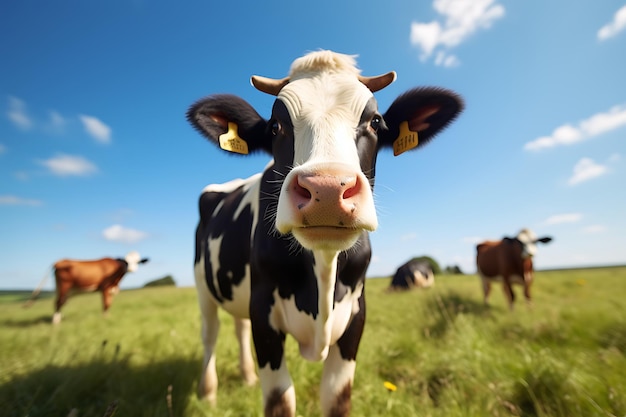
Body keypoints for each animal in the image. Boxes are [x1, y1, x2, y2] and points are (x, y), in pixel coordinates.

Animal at [188, 51, 460, 416]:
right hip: (203, 285)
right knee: (210, 334)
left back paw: (245, 377)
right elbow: (279, 400)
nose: (327, 189)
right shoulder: (264, 313)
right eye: (275, 126)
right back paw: (208, 394)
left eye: (375, 122)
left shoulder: (356, 315)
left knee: (238, 327)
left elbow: (336, 397)